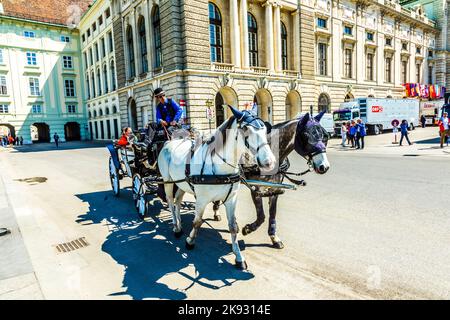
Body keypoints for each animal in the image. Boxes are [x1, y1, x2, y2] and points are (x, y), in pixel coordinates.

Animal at [158, 106, 278, 268]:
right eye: (245, 129)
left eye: (265, 129)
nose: (269, 162)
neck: (220, 167)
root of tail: (169, 142)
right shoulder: (201, 200)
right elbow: (197, 222)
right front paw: (190, 241)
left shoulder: (231, 199)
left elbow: (233, 226)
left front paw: (238, 257)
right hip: (168, 181)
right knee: (170, 202)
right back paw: (176, 227)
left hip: (181, 183)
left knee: (177, 201)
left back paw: (179, 222)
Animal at [211, 112, 330, 250]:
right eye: (306, 136)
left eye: (325, 136)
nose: (324, 166)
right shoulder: (256, 190)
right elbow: (261, 216)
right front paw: (248, 229)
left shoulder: (274, 190)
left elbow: (272, 214)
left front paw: (274, 237)